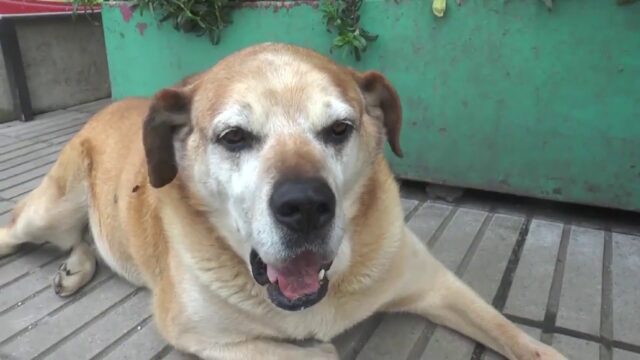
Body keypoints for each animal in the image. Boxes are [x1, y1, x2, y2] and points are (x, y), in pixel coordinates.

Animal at [0, 43, 568, 358]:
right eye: (233, 137)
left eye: (339, 129)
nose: (307, 207)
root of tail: (109, 107)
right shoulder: (195, 331)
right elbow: (321, 353)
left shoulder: (436, 284)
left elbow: (515, 335)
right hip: (51, 208)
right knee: (21, 227)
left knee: (79, 239)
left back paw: (75, 269)